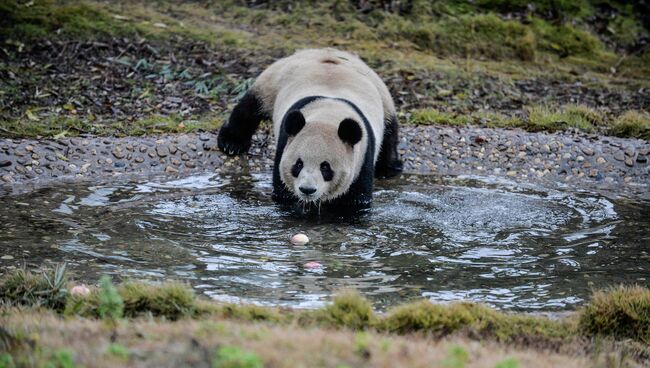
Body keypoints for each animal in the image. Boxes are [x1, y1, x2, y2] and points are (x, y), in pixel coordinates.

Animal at [218, 48, 400, 208]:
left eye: (325, 167)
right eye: (298, 164)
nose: (307, 189)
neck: (329, 113)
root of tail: (327, 50)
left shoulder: (361, 161)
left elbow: (355, 201)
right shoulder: (284, 147)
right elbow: (285, 194)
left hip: (383, 95)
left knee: (390, 132)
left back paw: (390, 167)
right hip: (274, 80)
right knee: (250, 107)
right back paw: (231, 143)